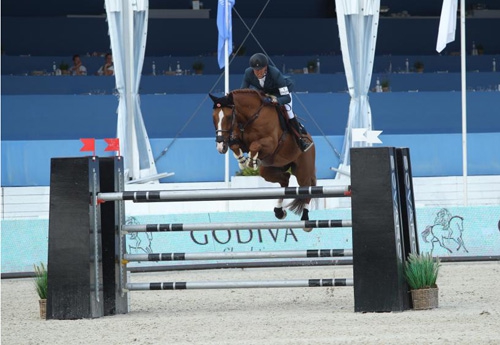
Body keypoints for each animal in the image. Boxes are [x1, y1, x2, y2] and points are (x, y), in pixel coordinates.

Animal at [210, 88, 316, 228]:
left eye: (228, 117)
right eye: (214, 117)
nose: (220, 145)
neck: (251, 118)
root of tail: (310, 138)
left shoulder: (270, 143)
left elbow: (255, 145)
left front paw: (251, 162)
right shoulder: (240, 141)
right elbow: (235, 145)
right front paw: (243, 161)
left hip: (303, 171)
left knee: (306, 189)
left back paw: (305, 219)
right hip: (269, 170)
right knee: (285, 179)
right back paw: (279, 212)